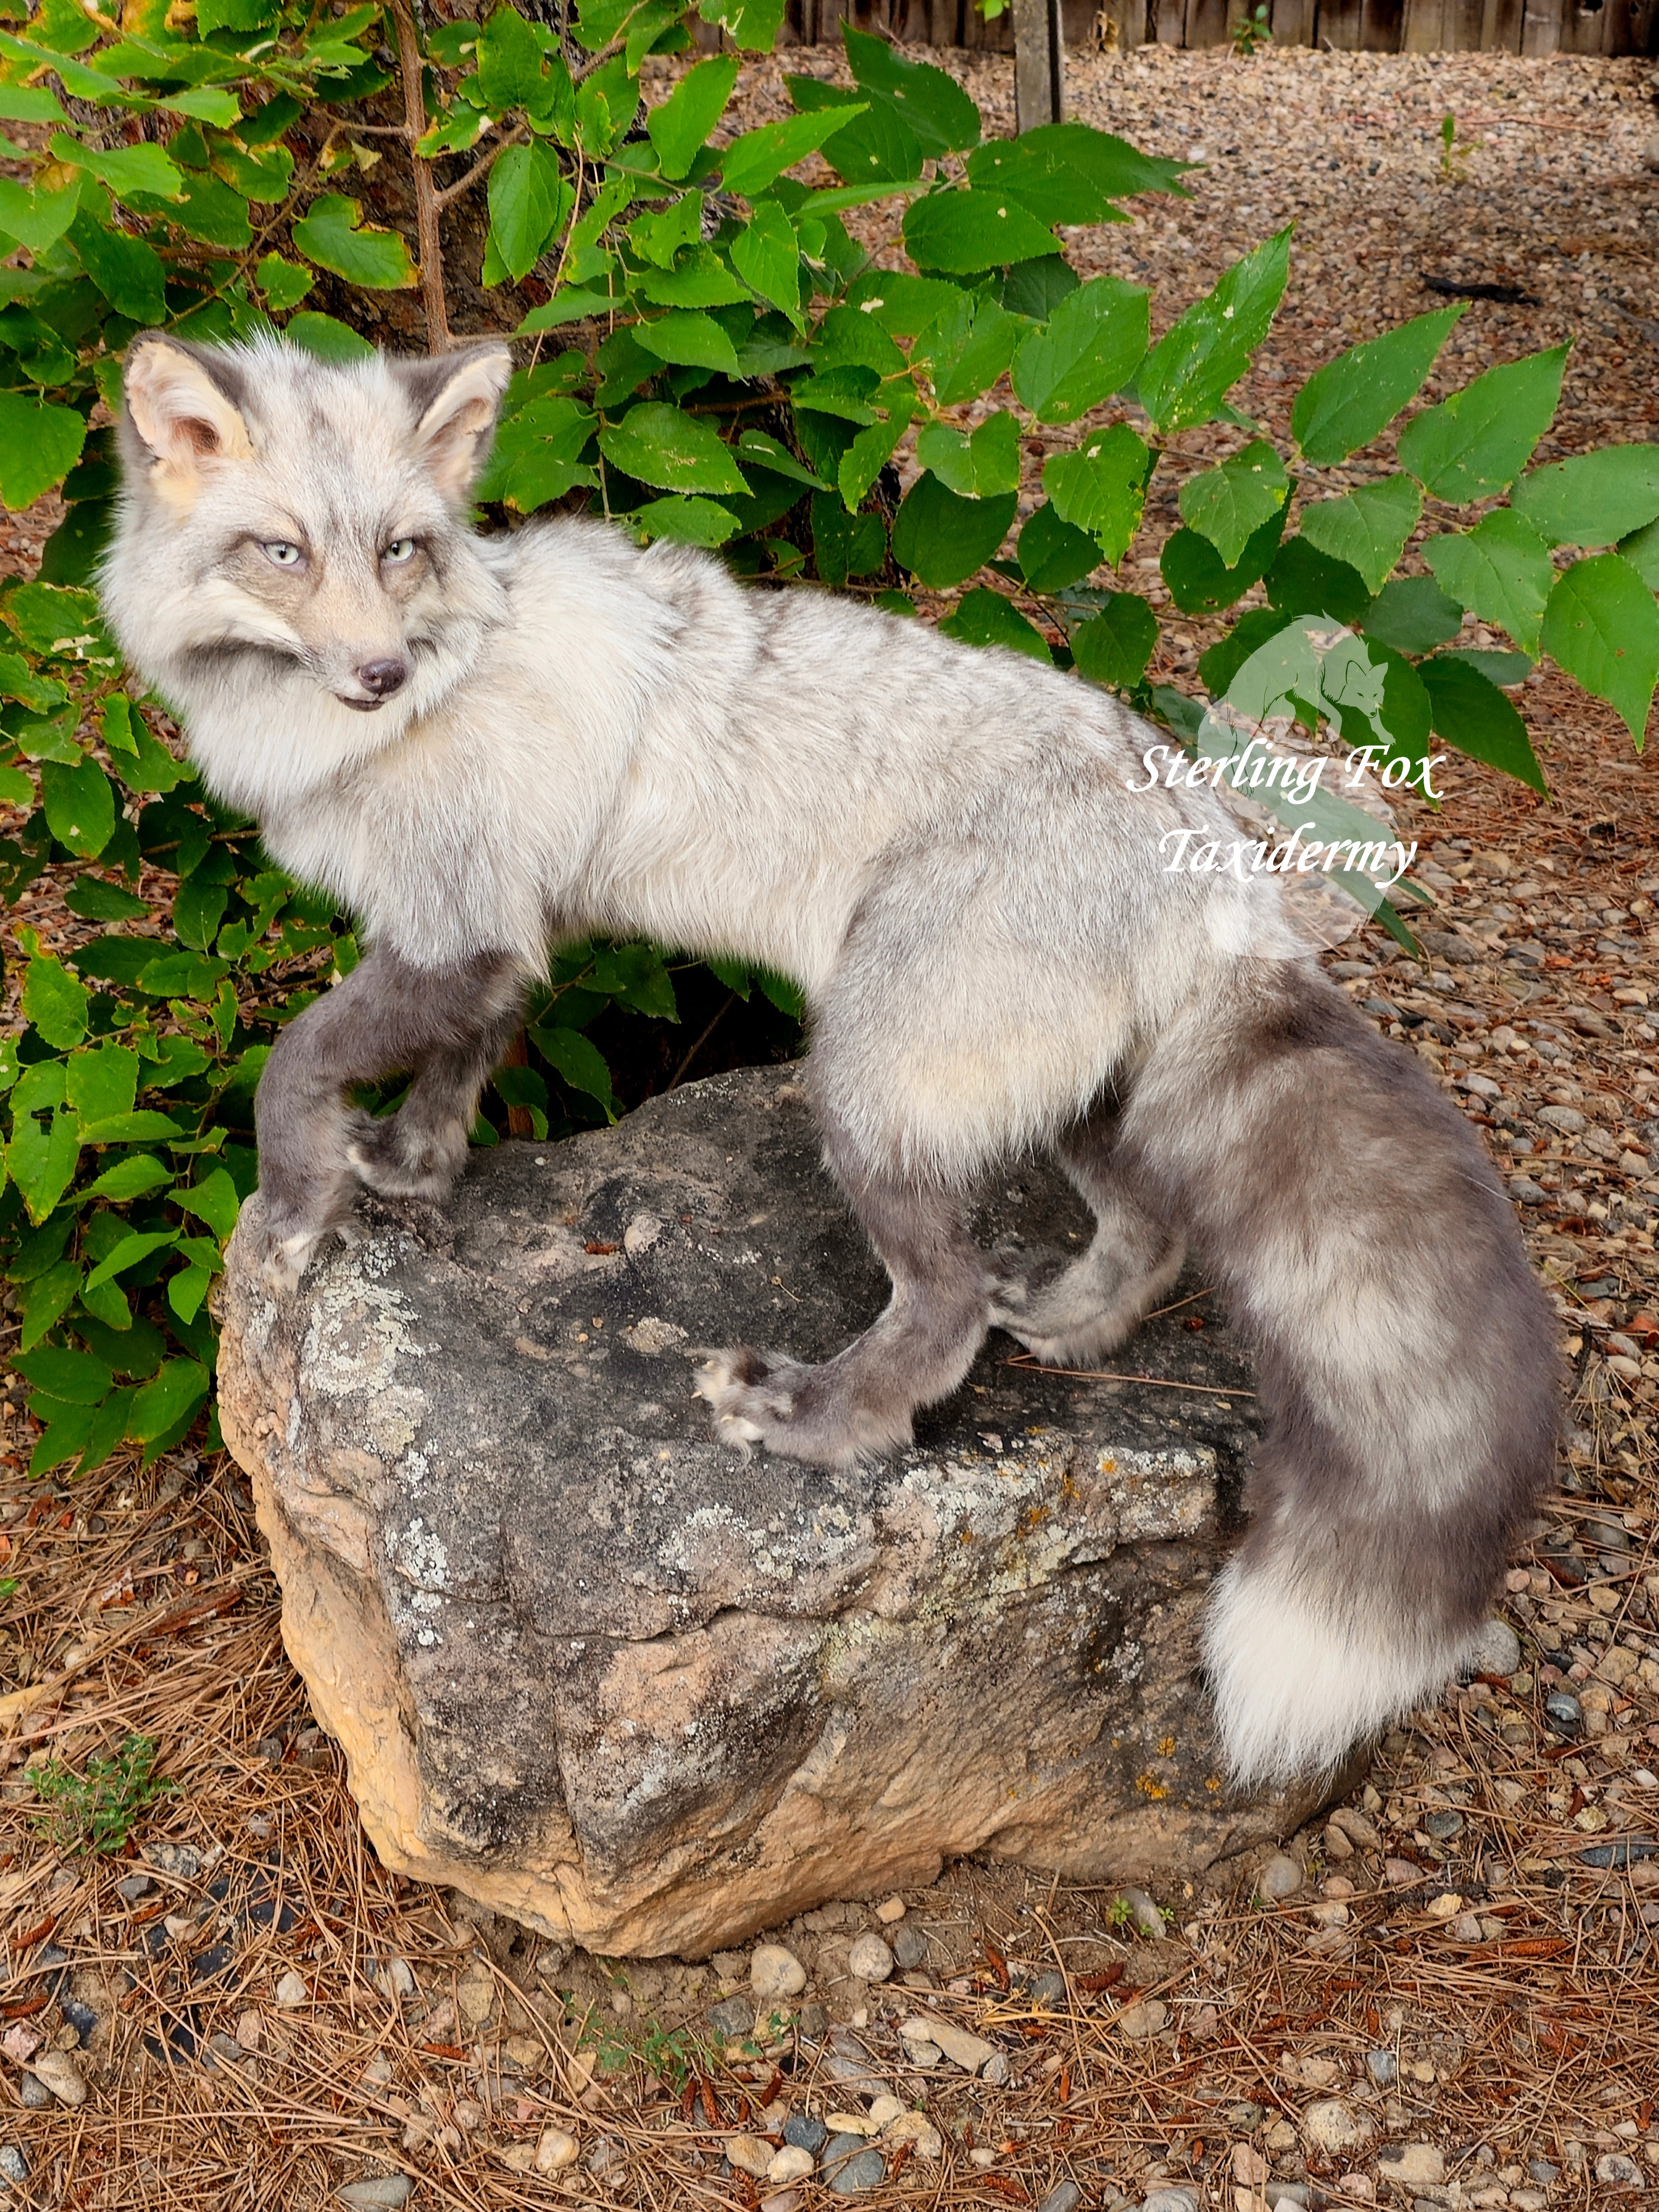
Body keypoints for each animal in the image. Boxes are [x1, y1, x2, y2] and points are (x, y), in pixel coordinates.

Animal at [102, 331, 1560, 1787]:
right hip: (1067, 1096)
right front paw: (413, 1162)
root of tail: (1211, 843)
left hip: (867, 1084)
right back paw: (1071, 1323)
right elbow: (465, 1057)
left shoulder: (454, 927)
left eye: (400, 549)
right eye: (282, 551)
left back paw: (819, 1416)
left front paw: (295, 1206)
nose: (380, 675)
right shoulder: (495, 927)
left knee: (947, 1302)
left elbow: (293, 1063)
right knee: (1147, 1232)